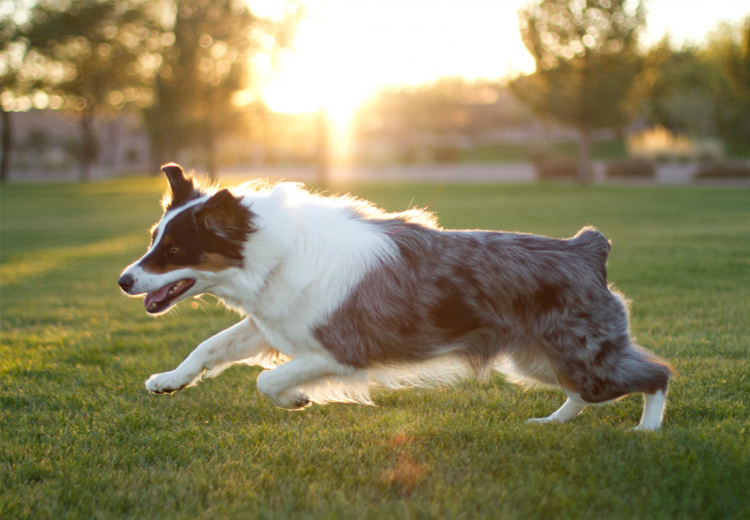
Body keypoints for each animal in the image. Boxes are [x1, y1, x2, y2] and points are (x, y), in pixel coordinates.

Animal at [119, 165, 676, 428]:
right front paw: (168, 380)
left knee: (655, 375)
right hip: (536, 359)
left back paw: (646, 432)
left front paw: (296, 398)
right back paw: (551, 422)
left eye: (174, 250)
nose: (124, 280)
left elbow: (267, 378)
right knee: (579, 392)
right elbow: (209, 347)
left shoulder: (341, 351)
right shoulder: (274, 322)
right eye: (153, 238)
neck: (274, 252)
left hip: (582, 355)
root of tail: (587, 248)